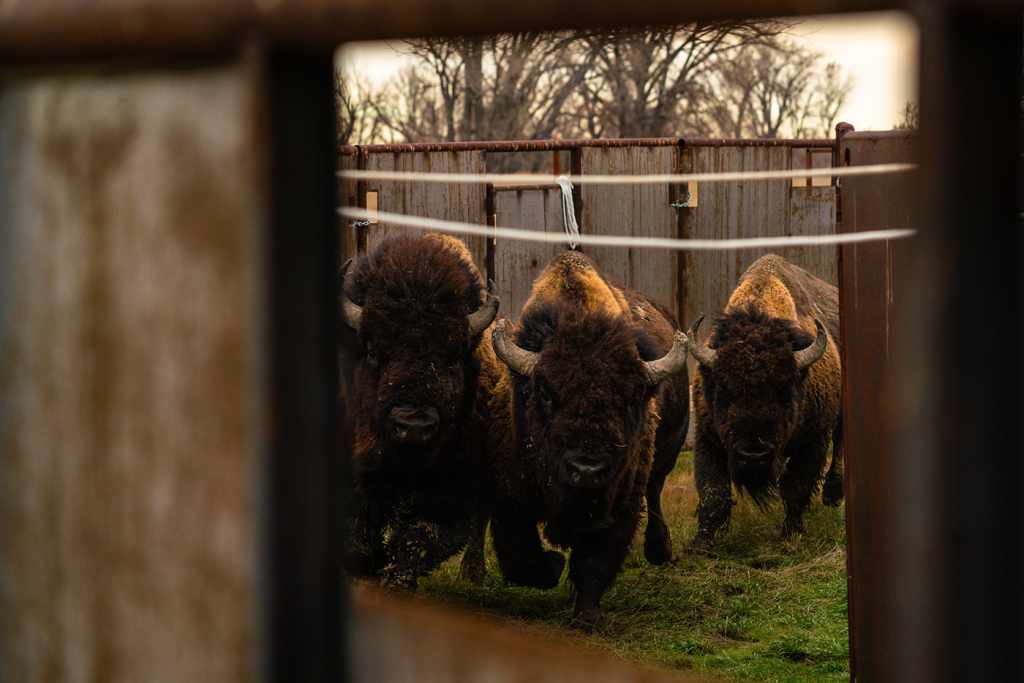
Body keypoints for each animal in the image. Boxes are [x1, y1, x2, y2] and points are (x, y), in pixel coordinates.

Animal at [339, 233, 499, 589]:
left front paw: (395, 577)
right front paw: (369, 564)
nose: (413, 425)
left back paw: (473, 573)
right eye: (373, 351)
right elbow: (359, 525)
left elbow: (423, 536)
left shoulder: (452, 490)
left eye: (453, 357)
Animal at [483, 252, 692, 630]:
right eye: (545, 393)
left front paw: (587, 614)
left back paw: (659, 550)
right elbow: (520, 555)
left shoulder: (619, 501)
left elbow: (597, 557)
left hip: (665, 456)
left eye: (631, 397)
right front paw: (554, 566)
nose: (588, 469)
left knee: (655, 493)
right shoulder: (509, 497)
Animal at [684, 252, 843, 548]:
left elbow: (796, 485)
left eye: (784, 389)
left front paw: (792, 533)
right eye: (724, 389)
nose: (753, 454)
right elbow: (713, 492)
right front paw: (701, 544)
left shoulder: (815, 438)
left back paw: (833, 495)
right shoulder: (708, 437)